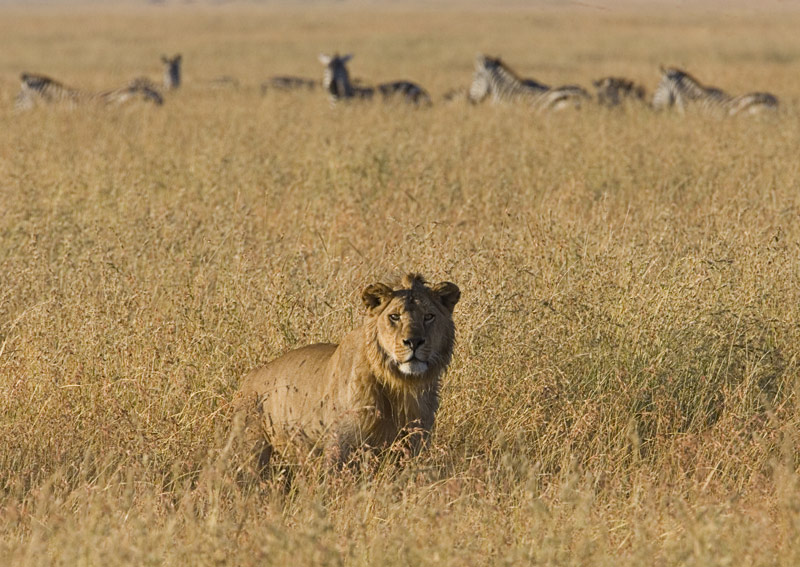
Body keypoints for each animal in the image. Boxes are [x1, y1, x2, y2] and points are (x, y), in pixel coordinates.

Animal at [231, 272, 460, 468]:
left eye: (429, 316)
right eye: (394, 317)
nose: (414, 342)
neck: (402, 386)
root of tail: (251, 376)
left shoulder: (413, 444)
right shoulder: (341, 444)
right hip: (250, 451)